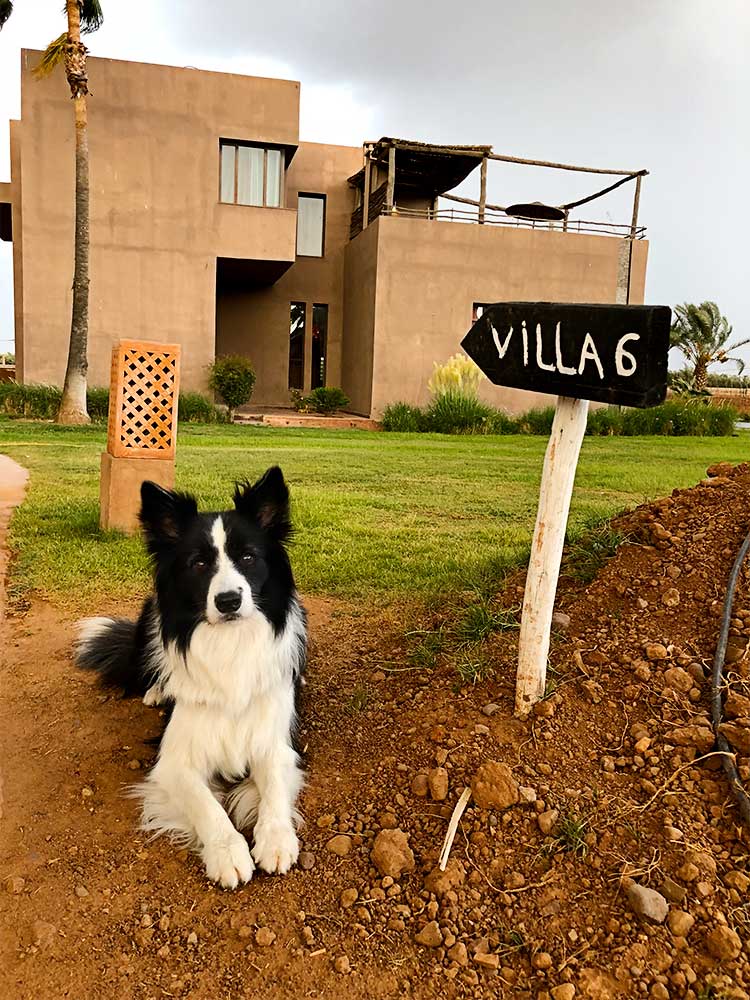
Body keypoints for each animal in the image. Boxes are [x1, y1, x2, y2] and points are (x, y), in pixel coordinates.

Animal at [71, 468, 306, 892]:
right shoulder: (174, 760)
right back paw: (155, 690)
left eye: (248, 557)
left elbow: (275, 789)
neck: (229, 644)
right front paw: (228, 853)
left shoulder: (275, 741)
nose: (228, 601)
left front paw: (277, 840)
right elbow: (206, 805)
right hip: (149, 618)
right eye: (198, 564)